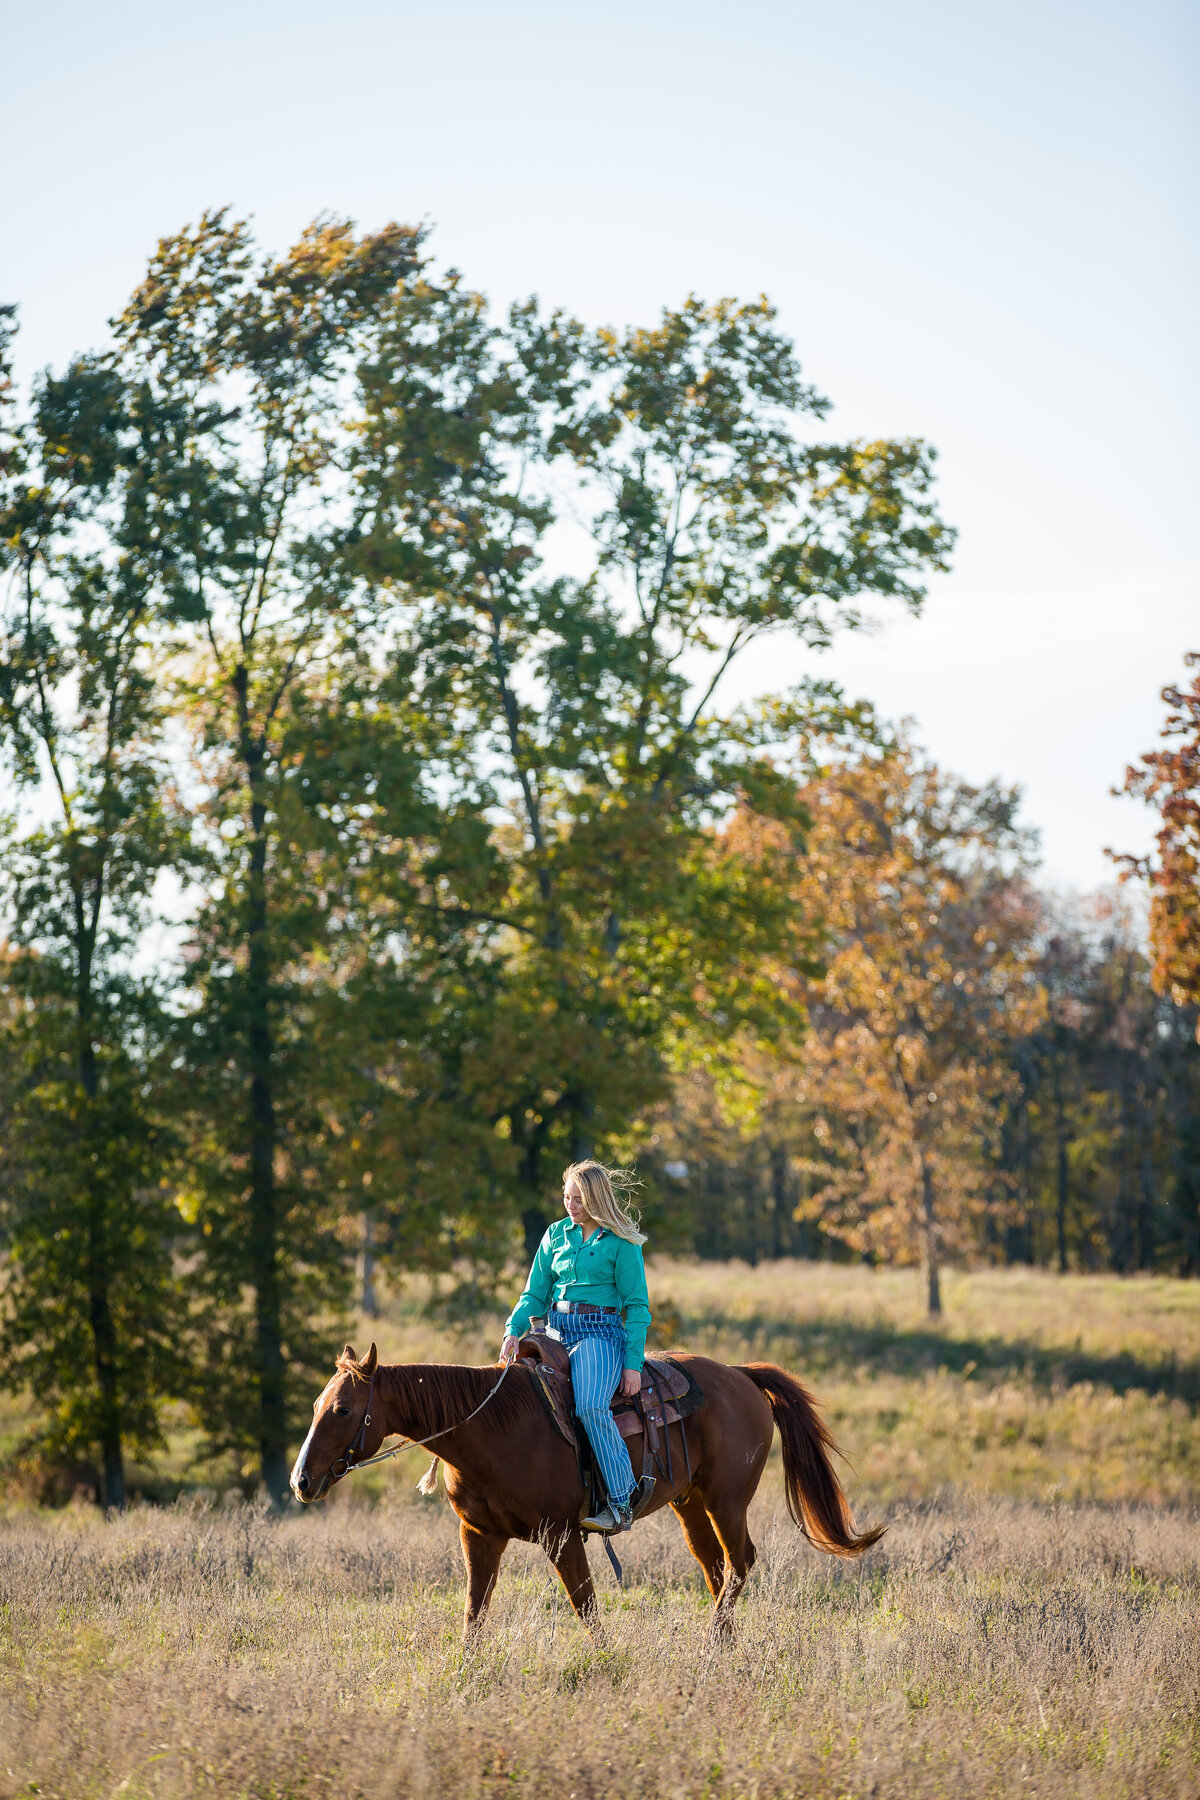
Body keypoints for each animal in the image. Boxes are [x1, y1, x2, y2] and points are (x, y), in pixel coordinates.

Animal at [291, 1339, 881, 1648]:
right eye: (318, 1404)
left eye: (343, 1409)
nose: (302, 1481)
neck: (494, 1429)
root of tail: (740, 1375)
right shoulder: (478, 1535)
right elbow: (474, 1612)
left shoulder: (561, 1535)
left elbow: (586, 1606)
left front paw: (607, 1663)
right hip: (690, 1503)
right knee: (716, 1567)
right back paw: (721, 1646)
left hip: (726, 1499)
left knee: (740, 1561)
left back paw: (714, 1642)